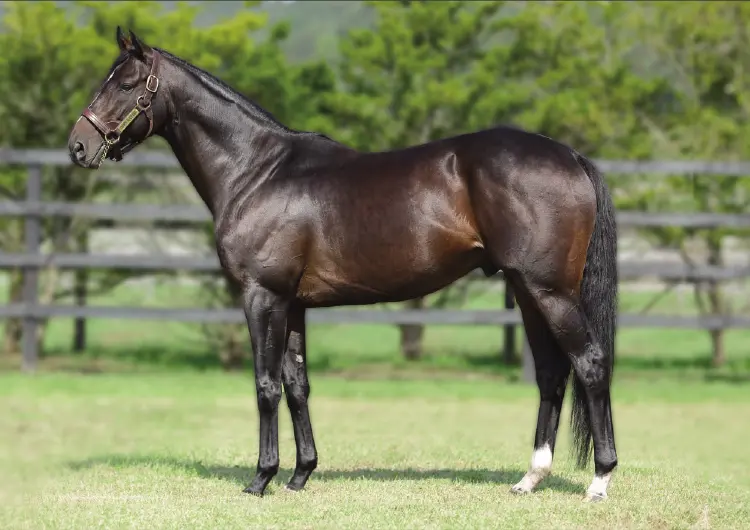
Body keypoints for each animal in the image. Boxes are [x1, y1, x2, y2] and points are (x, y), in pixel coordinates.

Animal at [67, 28, 618, 502]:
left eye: (125, 83)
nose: (78, 146)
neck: (256, 171)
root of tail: (571, 156)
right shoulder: (292, 304)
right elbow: (297, 385)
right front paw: (300, 475)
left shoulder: (261, 295)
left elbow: (265, 385)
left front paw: (261, 478)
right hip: (527, 291)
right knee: (551, 372)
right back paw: (531, 478)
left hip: (550, 291)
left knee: (590, 363)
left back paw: (599, 479)